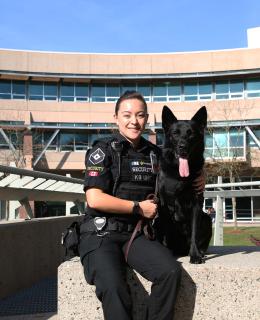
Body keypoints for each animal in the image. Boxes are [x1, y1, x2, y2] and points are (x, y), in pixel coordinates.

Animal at [157, 106, 212, 264]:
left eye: (191, 134)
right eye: (175, 133)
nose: (183, 147)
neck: (179, 175)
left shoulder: (196, 205)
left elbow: (194, 233)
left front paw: (195, 255)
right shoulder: (164, 206)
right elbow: (166, 232)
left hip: (207, 219)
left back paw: (200, 252)